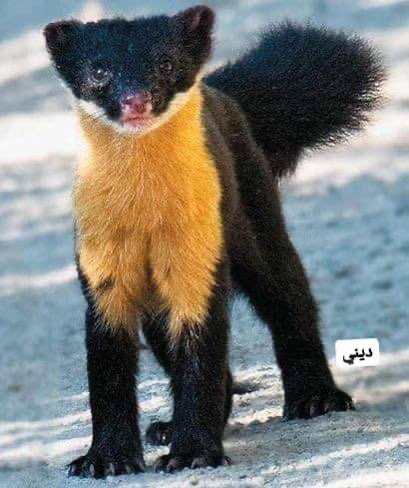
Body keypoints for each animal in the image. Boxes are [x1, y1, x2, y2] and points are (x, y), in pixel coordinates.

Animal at [44, 5, 384, 478]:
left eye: (165, 63)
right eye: (99, 70)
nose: (136, 100)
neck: (147, 215)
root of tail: (220, 89)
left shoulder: (199, 249)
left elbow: (201, 357)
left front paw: (193, 453)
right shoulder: (101, 261)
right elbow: (107, 368)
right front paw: (105, 459)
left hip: (255, 215)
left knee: (289, 298)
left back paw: (316, 397)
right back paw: (165, 426)